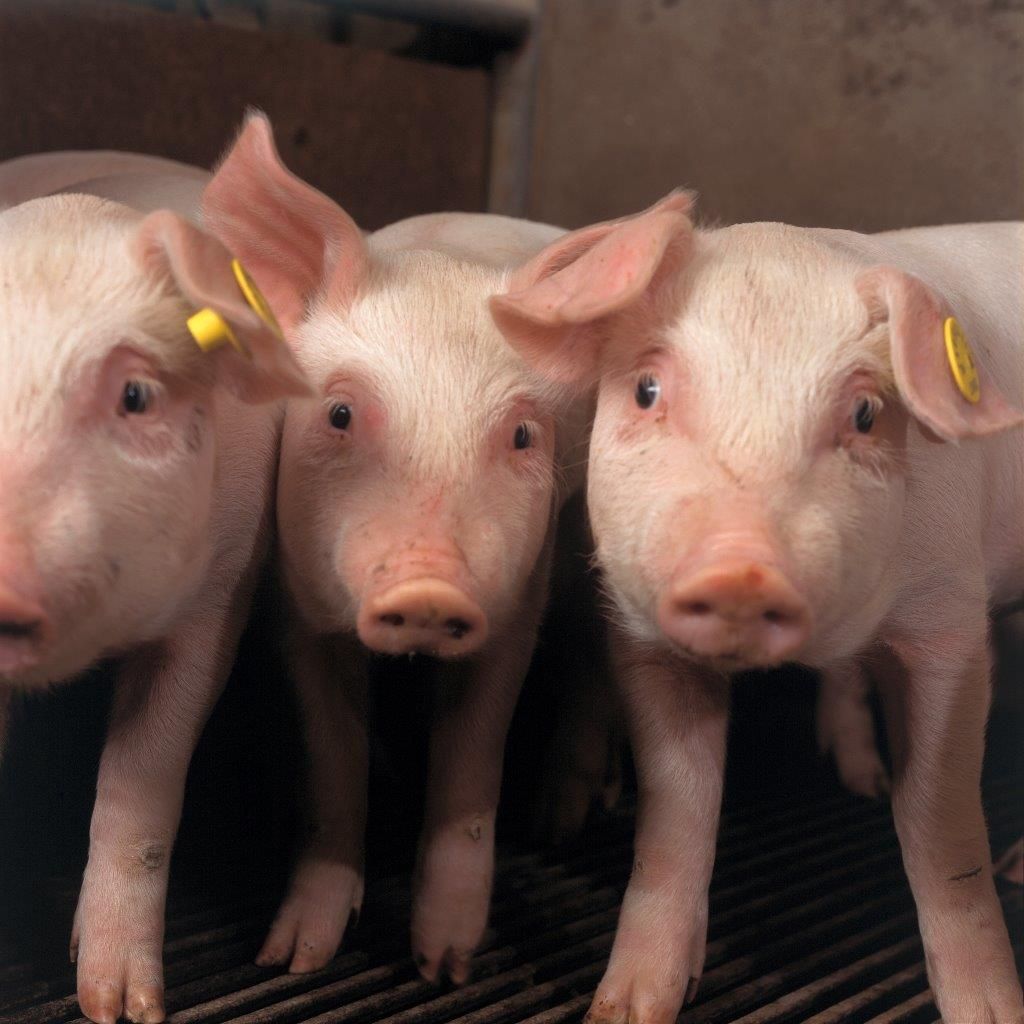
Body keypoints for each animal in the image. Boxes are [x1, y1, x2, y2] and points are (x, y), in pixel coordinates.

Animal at [200, 113, 596, 983]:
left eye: (523, 435)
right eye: (341, 413)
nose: (429, 589)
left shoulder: (517, 603)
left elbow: (471, 768)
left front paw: (444, 967)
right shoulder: (298, 605)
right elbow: (333, 762)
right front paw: (293, 960)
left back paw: (564, 822)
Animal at [489, 197, 1024, 1023]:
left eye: (866, 413)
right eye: (647, 389)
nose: (742, 566)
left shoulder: (951, 621)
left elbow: (941, 825)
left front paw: (990, 1010)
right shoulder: (644, 637)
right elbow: (678, 812)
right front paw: (625, 1007)